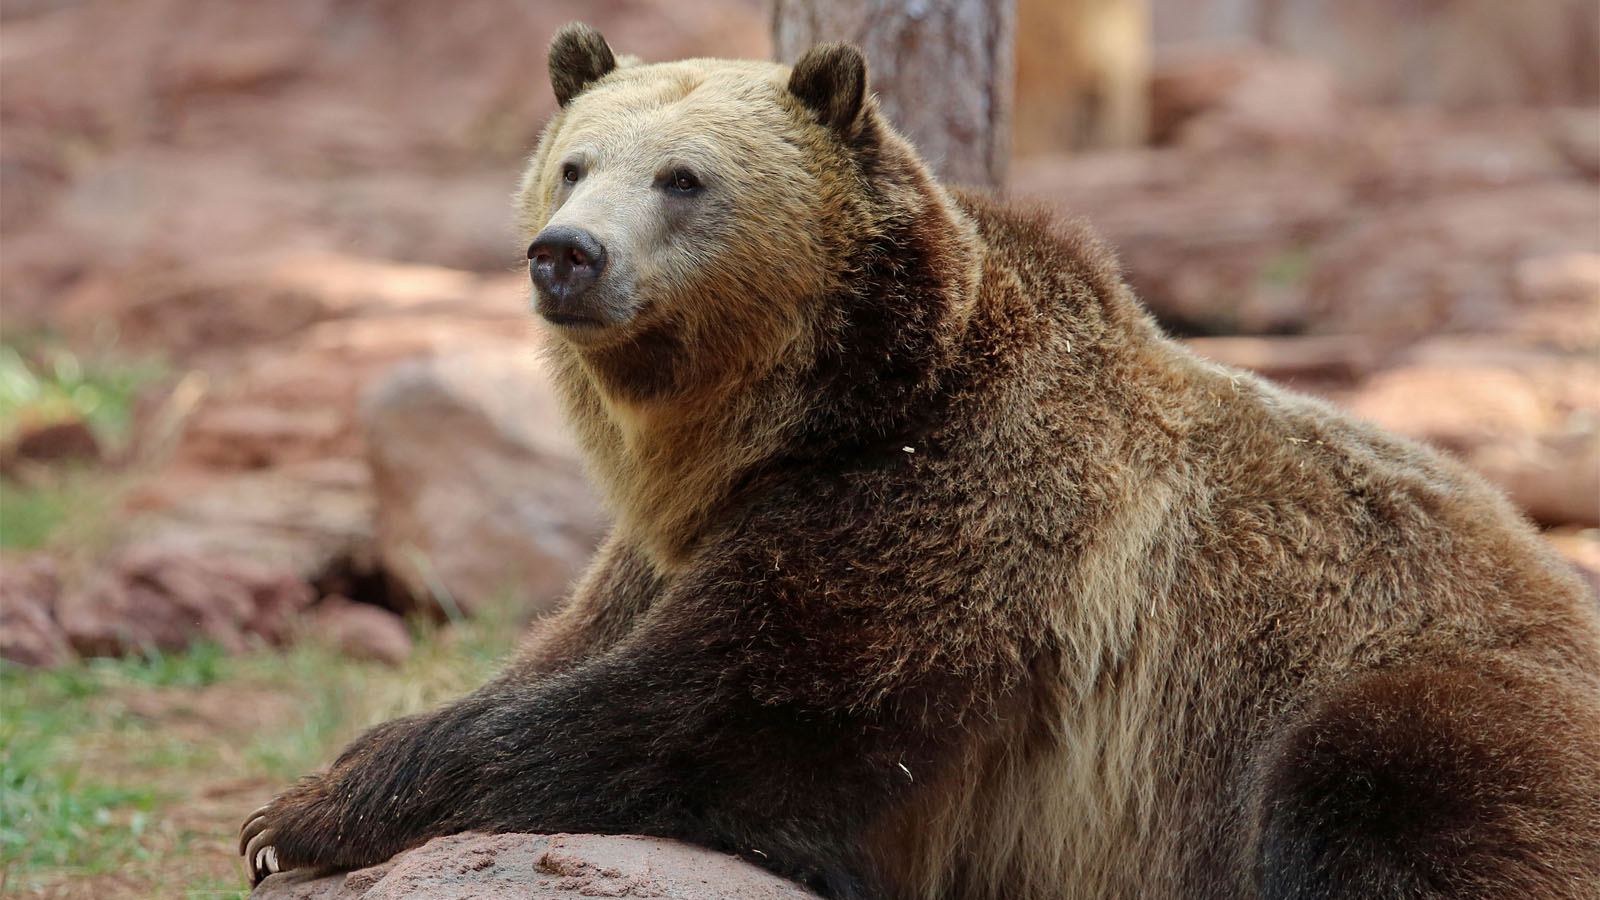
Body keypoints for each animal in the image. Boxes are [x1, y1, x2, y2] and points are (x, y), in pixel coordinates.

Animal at [240, 24, 1600, 900]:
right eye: (571, 160)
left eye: (684, 178)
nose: (566, 253)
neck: (808, 418)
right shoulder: (683, 535)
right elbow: (575, 651)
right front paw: (313, 789)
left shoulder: (957, 517)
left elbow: (712, 709)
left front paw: (307, 810)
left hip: (1416, 694)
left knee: (1386, 774)